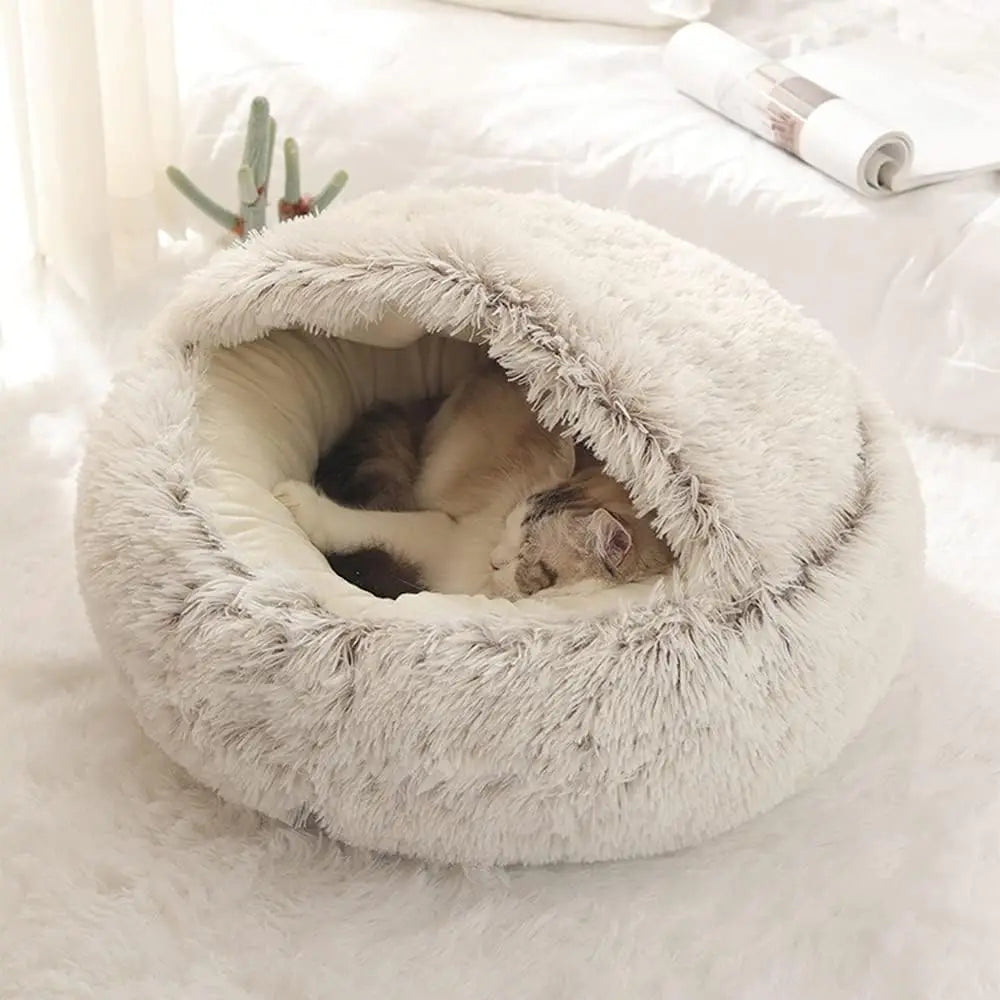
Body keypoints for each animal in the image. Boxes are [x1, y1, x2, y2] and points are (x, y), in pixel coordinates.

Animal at [278, 368, 676, 600]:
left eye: (524, 557)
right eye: (506, 525)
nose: (493, 560)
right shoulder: (447, 532)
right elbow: (361, 523)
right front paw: (296, 500)